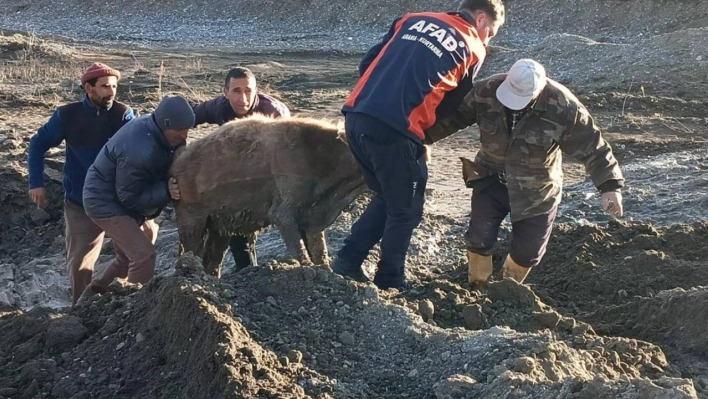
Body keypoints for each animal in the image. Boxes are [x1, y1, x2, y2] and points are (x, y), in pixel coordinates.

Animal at [169, 115, 368, 278]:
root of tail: (179, 160)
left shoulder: (314, 219)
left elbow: (320, 250)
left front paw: (326, 271)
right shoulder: (283, 215)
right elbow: (299, 250)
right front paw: (309, 270)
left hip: (219, 227)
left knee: (212, 261)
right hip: (193, 223)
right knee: (192, 252)